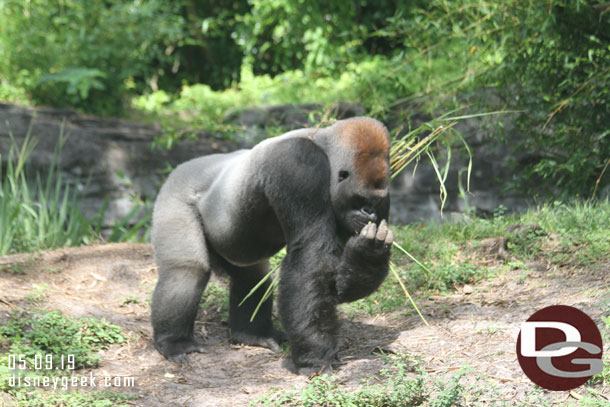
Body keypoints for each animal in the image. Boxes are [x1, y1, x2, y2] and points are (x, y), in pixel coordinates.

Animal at [150, 115, 392, 372]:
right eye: (360, 198)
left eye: (375, 201)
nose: (370, 214)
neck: (324, 146)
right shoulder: (299, 163)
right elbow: (312, 254)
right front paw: (314, 356)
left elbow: (335, 284)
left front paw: (369, 255)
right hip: (175, 194)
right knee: (187, 270)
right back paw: (175, 341)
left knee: (253, 277)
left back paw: (252, 334)